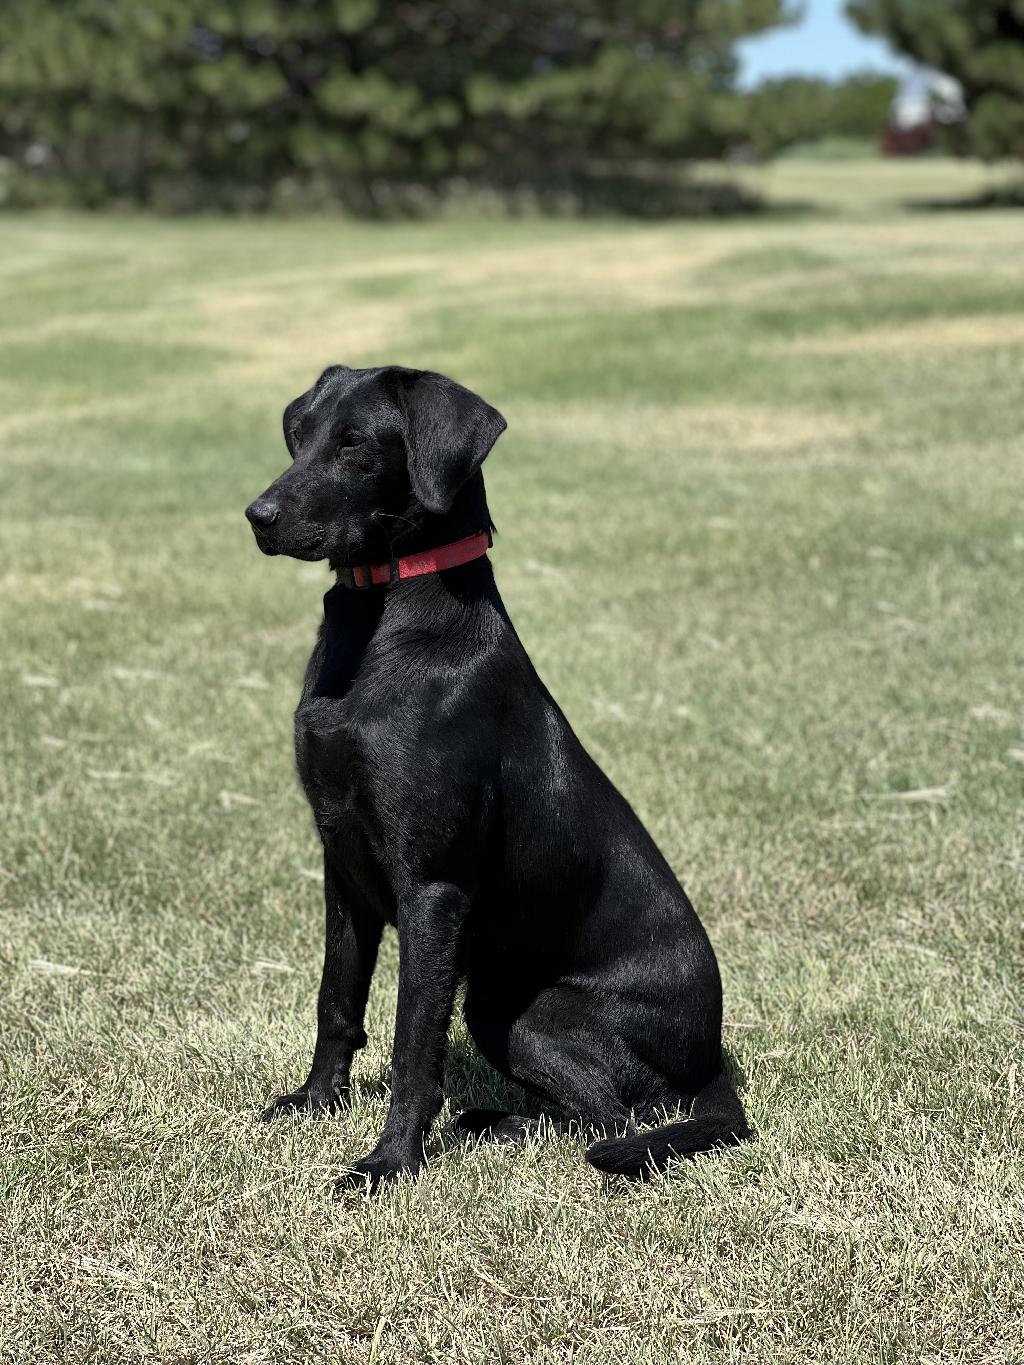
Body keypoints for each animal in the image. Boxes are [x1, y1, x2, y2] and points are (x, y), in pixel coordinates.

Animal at [244, 363, 748, 1184]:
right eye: (301, 434)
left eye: (355, 442)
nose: (259, 516)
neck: (385, 619)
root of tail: (711, 1059)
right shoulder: (341, 863)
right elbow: (336, 1000)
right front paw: (316, 1102)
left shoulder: (433, 887)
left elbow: (413, 1043)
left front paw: (388, 1163)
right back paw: (491, 1123)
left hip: (517, 1007)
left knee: (617, 1113)